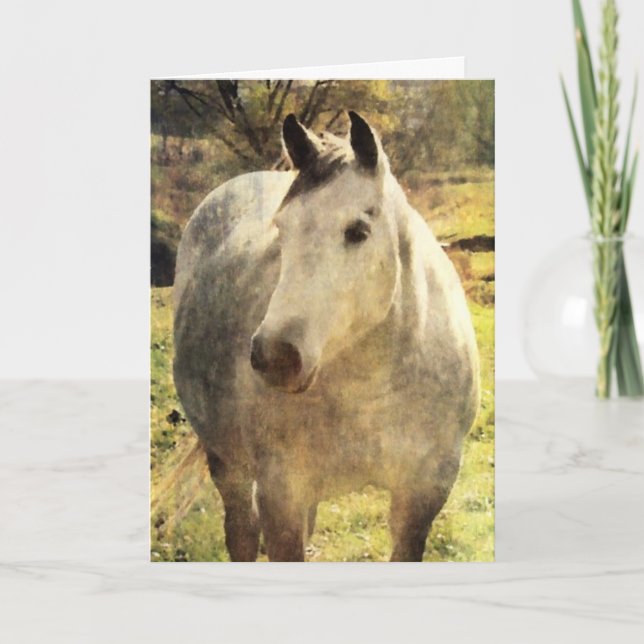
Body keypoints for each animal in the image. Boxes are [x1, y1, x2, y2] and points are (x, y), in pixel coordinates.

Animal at [172, 111, 480, 561]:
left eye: (357, 231)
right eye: (281, 230)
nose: (275, 356)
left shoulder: (424, 494)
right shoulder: (280, 494)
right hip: (227, 463)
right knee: (241, 533)